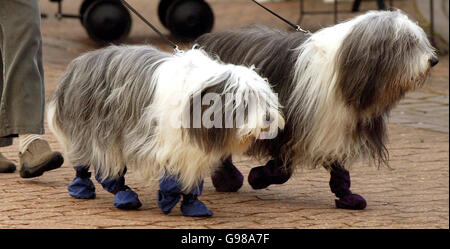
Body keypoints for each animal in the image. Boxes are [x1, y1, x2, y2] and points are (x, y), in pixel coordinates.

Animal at [47, 45, 284, 217]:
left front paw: (192, 205)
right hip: (94, 130)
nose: (269, 118)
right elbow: (171, 178)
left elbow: (190, 178)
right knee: (91, 164)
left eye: (265, 98)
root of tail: (79, 62)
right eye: (244, 100)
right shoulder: (166, 142)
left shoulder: (189, 149)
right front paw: (168, 199)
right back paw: (98, 191)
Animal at [195, 9, 438, 209]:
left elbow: (339, 169)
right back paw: (228, 179)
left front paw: (347, 197)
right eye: (408, 43)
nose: (434, 60)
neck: (345, 75)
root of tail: (207, 40)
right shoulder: (289, 127)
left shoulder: (335, 125)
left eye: (420, 41)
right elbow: (282, 170)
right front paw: (258, 177)